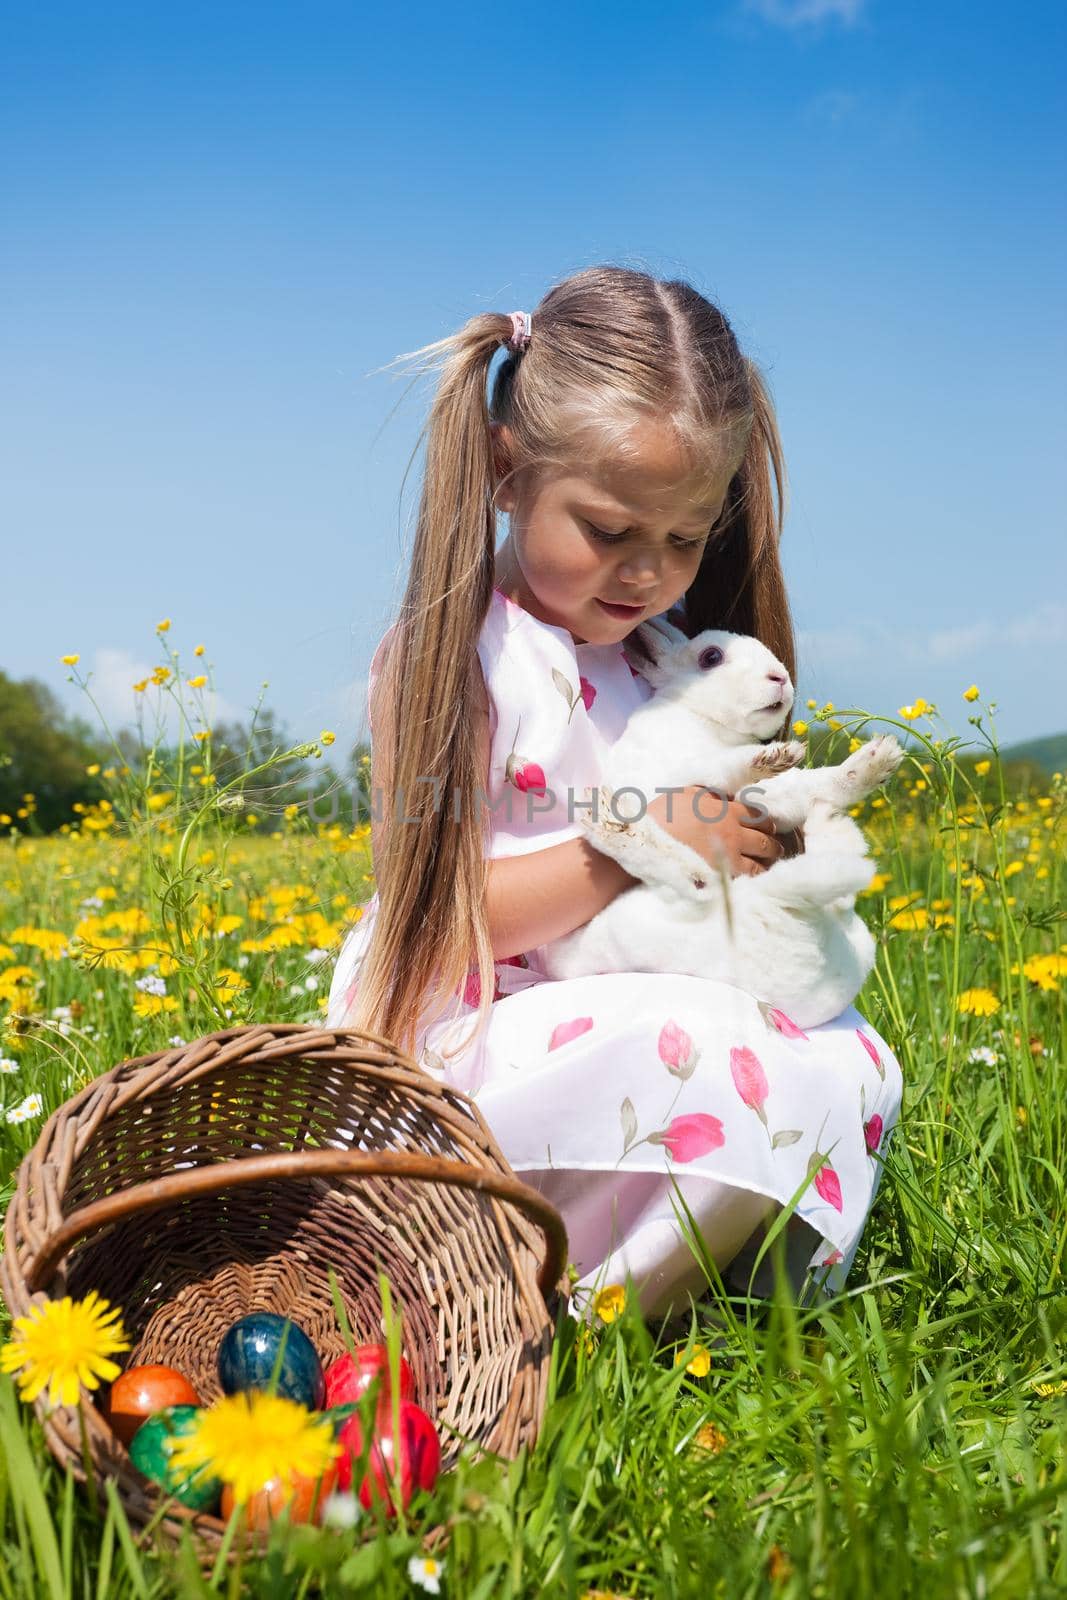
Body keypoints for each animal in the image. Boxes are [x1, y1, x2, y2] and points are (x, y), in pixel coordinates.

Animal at [537, 611, 908, 1024]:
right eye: (711, 657)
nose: (779, 678)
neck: (701, 720)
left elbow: (796, 787)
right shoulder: (678, 773)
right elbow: (729, 771)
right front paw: (772, 757)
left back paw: (866, 772)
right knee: (694, 878)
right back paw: (610, 821)